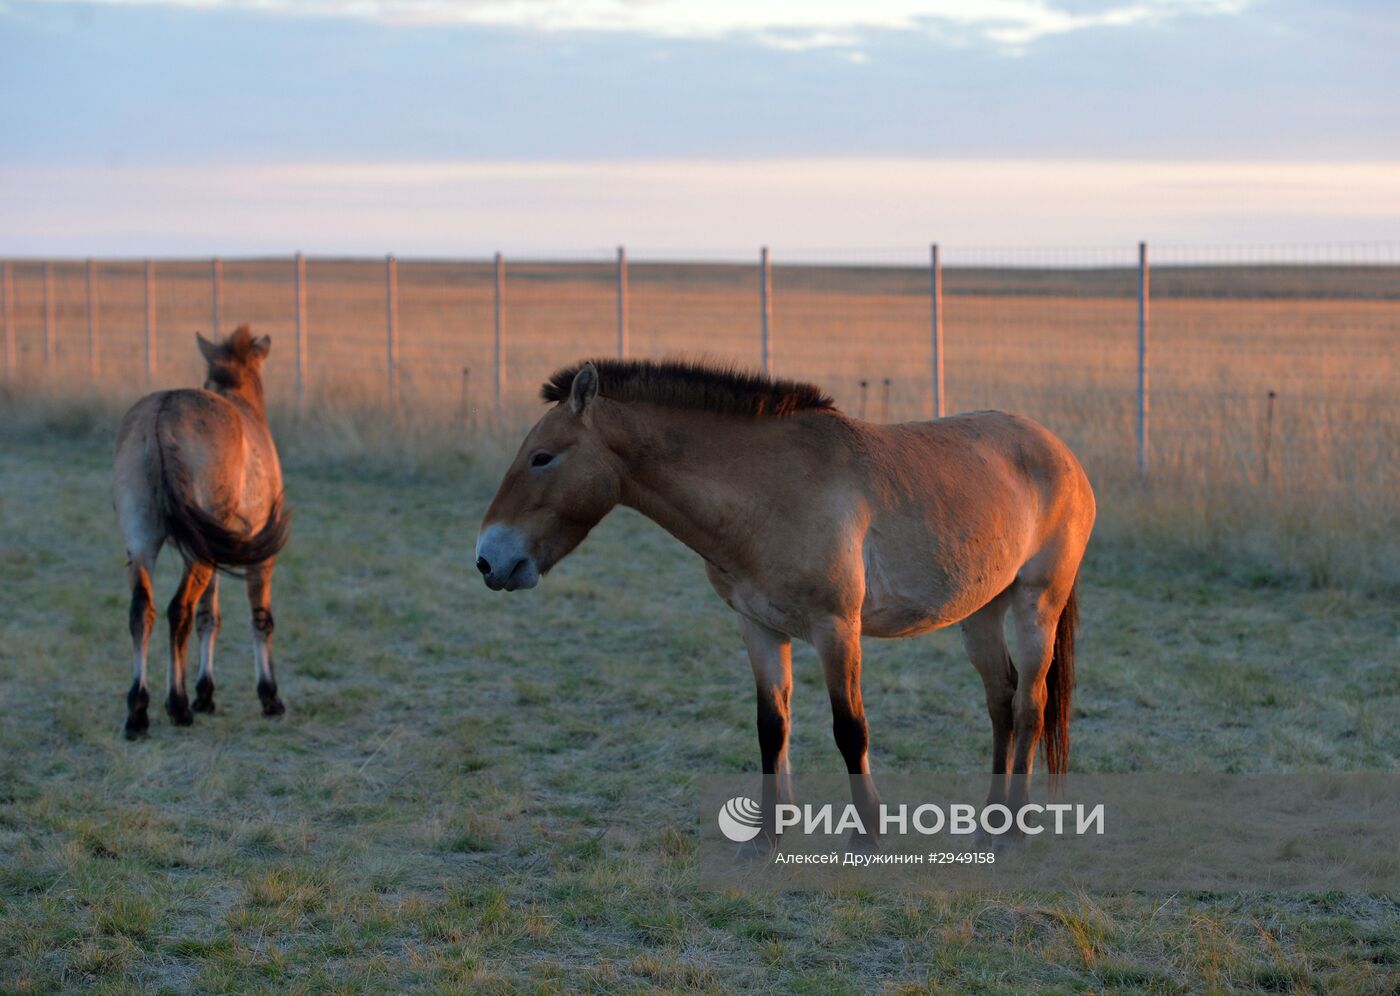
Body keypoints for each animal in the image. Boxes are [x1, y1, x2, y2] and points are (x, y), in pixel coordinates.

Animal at [113, 327, 291, 739]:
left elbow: (210, 617)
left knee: (142, 610)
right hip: (201, 553)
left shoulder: (212, 549)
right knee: (178, 609)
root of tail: (161, 417)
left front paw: (205, 694)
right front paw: (270, 697)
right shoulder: (258, 557)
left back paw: (138, 712)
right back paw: (176, 706)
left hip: (143, 542)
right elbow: (261, 617)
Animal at [478, 361, 1092, 851]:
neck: (769, 492)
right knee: (1000, 700)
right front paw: (767, 835)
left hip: (1037, 603)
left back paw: (1014, 827)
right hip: (980, 612)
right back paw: (989, 820)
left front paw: (868, 834)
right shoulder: (758, 627)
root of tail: (1061, 453)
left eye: (542, 458)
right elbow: (771, 726)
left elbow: (850, 729)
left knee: (1030, 704)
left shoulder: (835, 630)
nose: (488, 560)